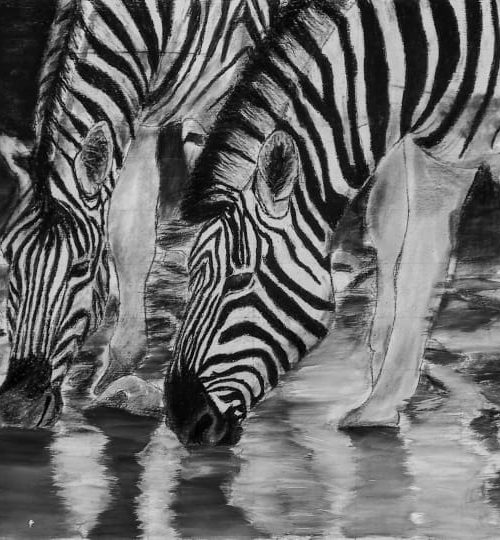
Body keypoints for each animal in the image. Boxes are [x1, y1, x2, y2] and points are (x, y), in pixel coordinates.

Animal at [0, 0, 284, 428]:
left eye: (80, 268)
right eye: (10, 260)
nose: (18, 408)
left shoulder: (236, 108)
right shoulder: (145, 123)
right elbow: (131, 241)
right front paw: (120, 366)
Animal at [165, 0, 500, 445]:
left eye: (240, 280)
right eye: (190, 277)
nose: (183, 421)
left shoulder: (444, 161)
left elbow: (417, 270)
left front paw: (379, 406)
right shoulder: (431, 153)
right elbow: (395, 240)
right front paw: (383, 374)